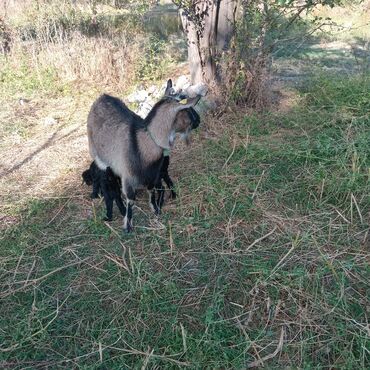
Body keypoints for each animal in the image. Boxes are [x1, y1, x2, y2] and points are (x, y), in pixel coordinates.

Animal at [87, 88, 201, 233]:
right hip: (96, 154)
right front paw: (127, 226)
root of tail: (102, 97)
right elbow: (131, 199)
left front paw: (156, 209)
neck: (142, 143)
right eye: (188, 110)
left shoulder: (153, 174)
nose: (199, 120)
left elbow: (151, 191)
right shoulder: (128, 177)